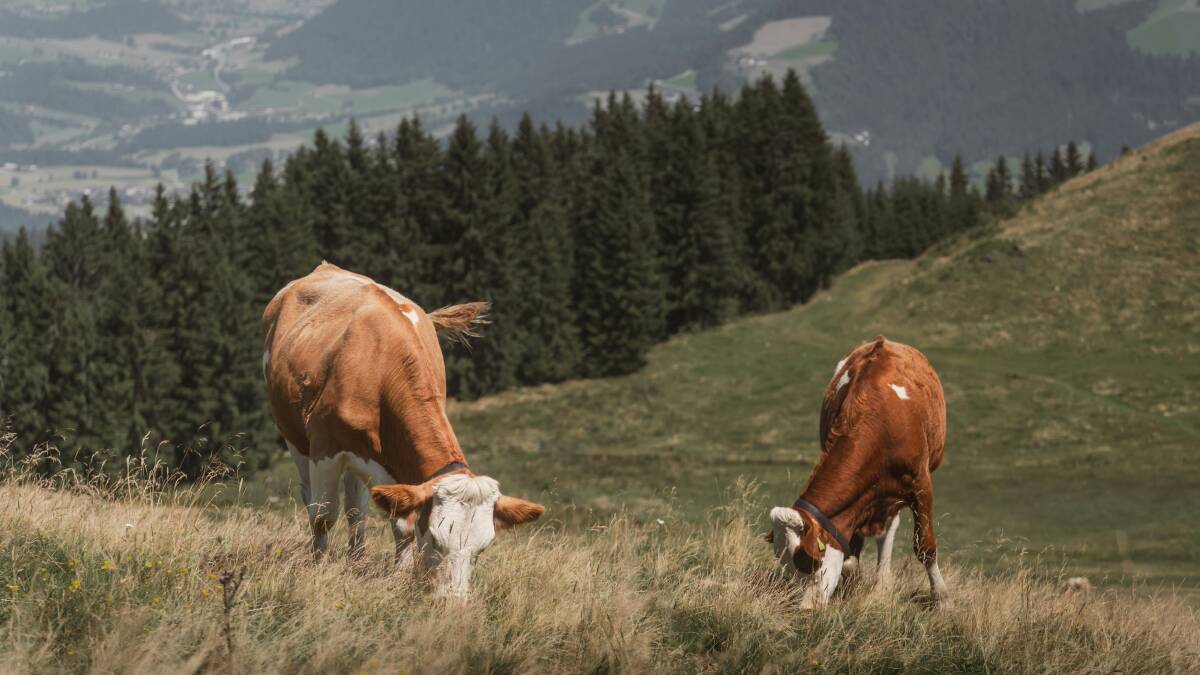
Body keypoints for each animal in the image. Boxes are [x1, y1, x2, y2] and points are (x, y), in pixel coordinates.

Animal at [262, 262, 544, 597]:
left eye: (481, 550)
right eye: (435, 538)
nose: (453, 603)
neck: (382, 368)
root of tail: (324, 268)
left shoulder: (399, 464)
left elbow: (402, 524)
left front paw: (399, 576)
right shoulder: (325, 448)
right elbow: (323, 516)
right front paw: (318, 569)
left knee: (356, 509)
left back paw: (356, 559)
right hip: (294, 437)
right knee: (312, 498)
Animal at [766, 336, 948, 608]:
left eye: (810, 561)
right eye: (787, 569)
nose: (805, 608)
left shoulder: (921, 484)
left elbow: (925, 546)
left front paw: (942, 598)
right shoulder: (860, 501)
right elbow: (850, 557)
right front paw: (852, 588)